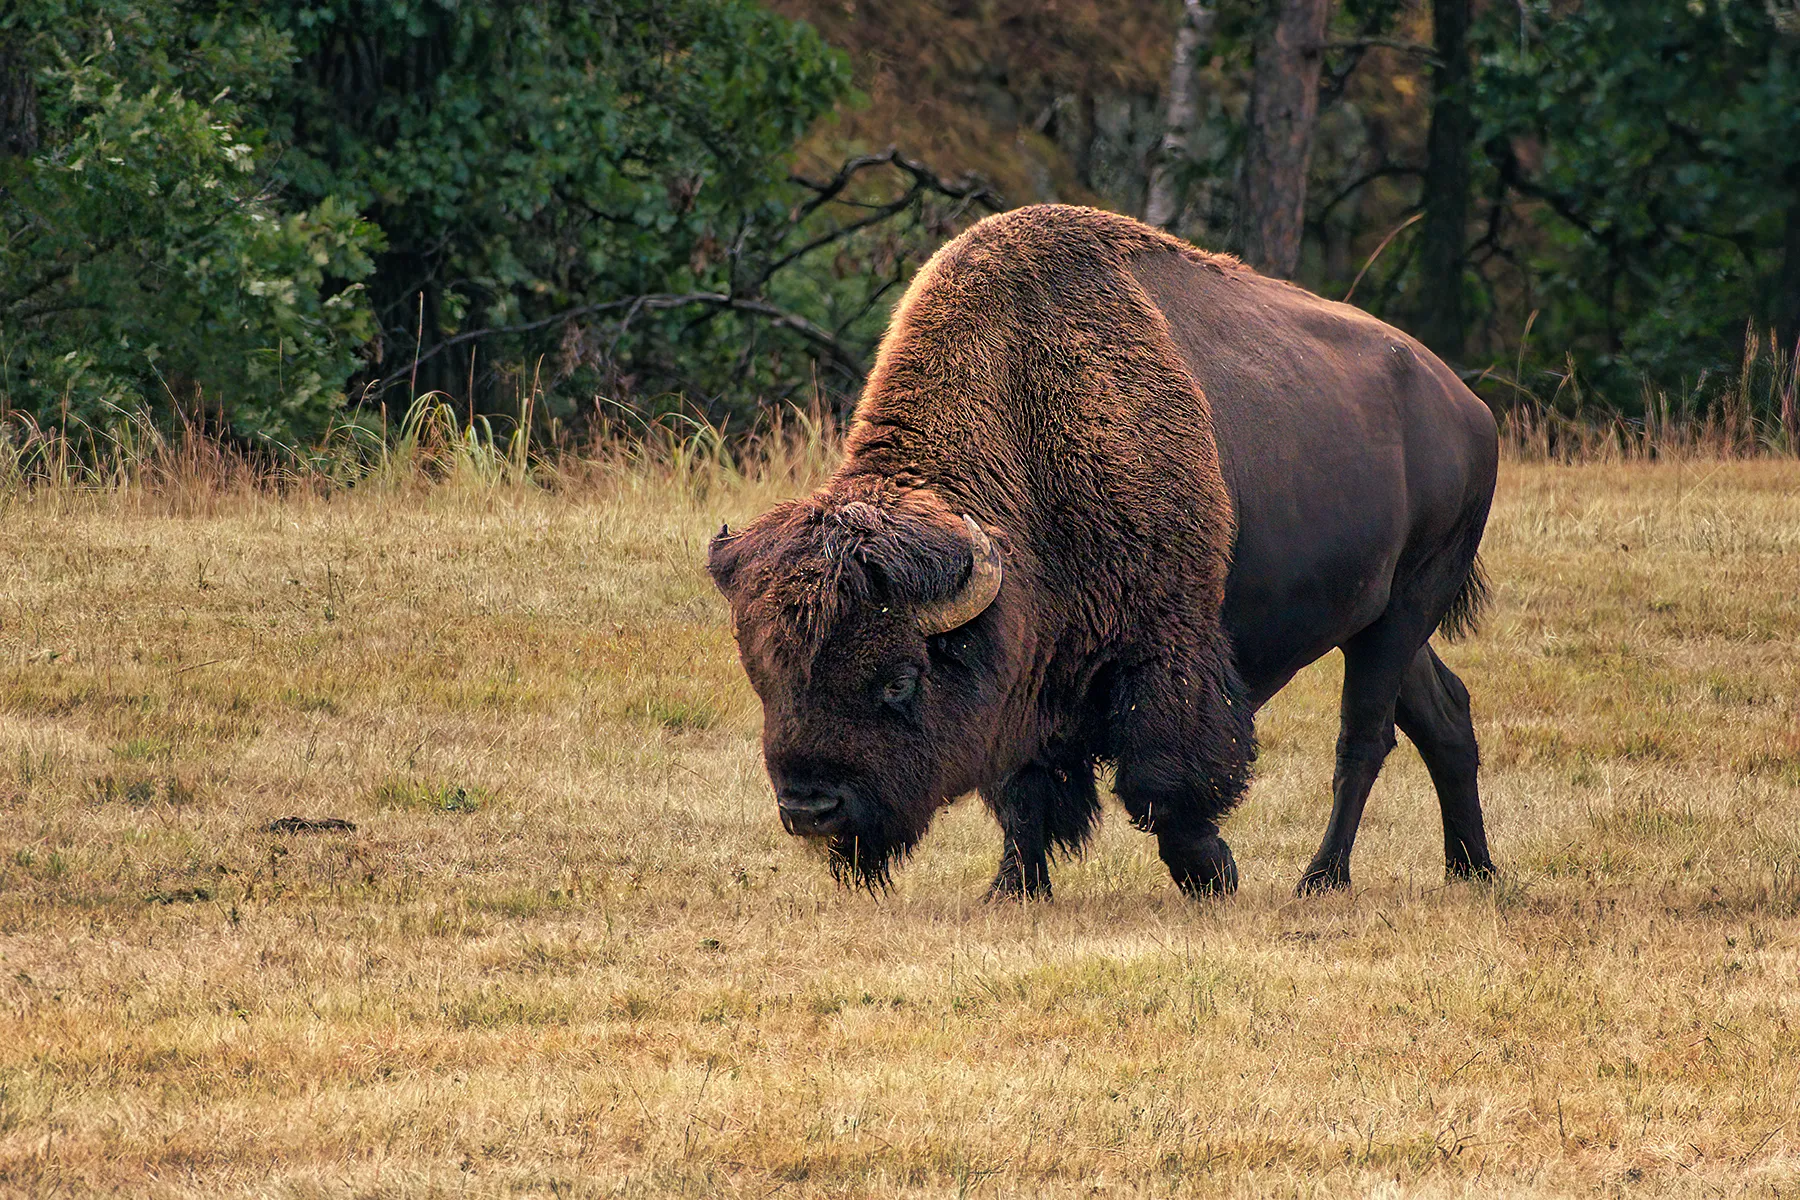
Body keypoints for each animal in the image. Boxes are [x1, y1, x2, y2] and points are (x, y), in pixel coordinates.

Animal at [708, 204, 1497, 898]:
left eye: (901, 680)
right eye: (764, 674)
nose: (811, 808)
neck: (1028, 421)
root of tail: (1468, 406)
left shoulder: (1163, 649)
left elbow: (1162, 781)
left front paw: (1212, 874)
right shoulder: (1028, 673)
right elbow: (1021, 793)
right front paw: (1013, 889)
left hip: (1407, 606)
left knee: (1363, 739)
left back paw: (1322, 878)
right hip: (1379, 620)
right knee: (1444, 713)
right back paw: (1473, 870)